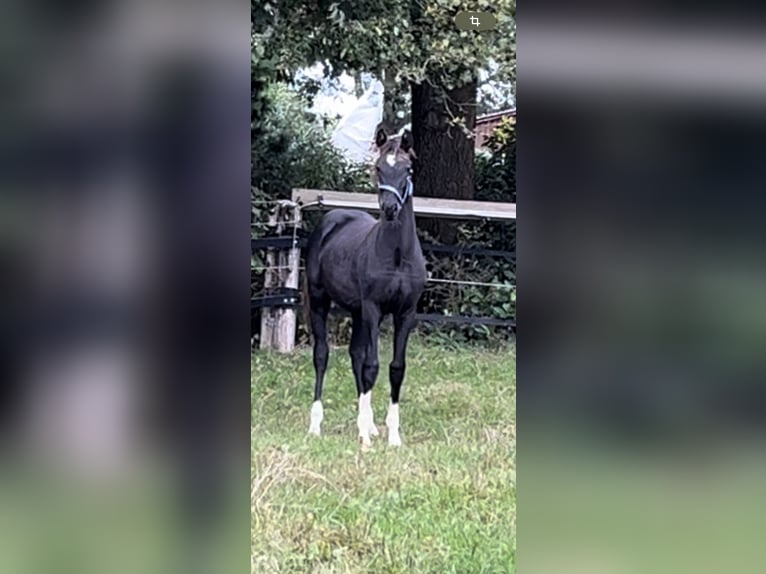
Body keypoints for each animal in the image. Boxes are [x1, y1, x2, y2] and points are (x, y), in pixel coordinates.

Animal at [304, 128, 426, 448]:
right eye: (378, 167)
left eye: (407, 169)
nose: (390, 209)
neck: (397, 255)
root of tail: (332, 219)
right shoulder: (373, 308)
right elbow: (372, 365)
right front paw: (366, 439)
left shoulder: (405, 313)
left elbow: (396, 368)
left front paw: (392, 436)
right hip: (320, 302)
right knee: (322, 355)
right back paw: (315, 425)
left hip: (357, 312)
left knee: (355, 355)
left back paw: (368, 425)